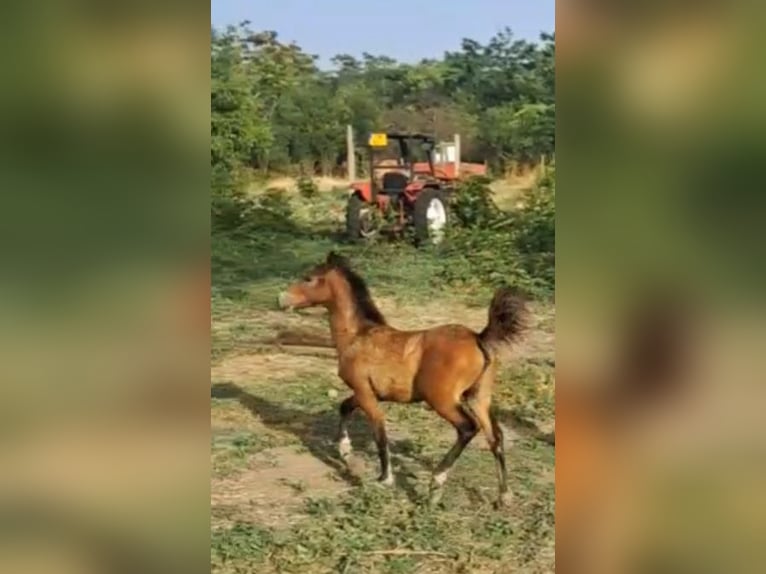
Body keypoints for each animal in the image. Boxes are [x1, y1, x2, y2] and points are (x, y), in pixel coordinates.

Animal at [278, 254, 528, 506]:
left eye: (309, 278)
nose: (282, 298)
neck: (358, 336)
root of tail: (479, 338)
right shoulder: (368, 392)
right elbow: (345, 406)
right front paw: (345, 450)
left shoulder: (364, 392)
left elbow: (379, 432)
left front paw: (384, 479)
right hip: (479, 397)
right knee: (495, 437)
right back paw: (504, 495)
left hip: (443, 400)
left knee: (468, 428)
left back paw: (436, 482)